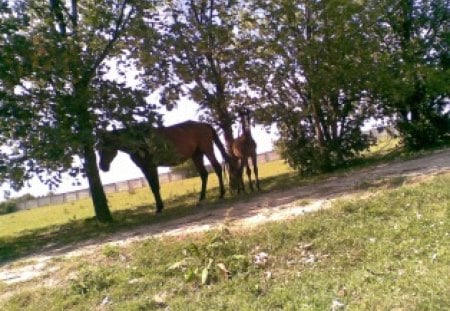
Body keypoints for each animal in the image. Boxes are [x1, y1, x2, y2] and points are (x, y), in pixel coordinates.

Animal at [99, 120, 232, 213]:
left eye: (105, 147)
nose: (102, 167)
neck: (139, 141)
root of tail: (204, 124)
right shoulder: (144, 168)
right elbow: (153, 187)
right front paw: (159, 207)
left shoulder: (150, 166)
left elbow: (155, 186)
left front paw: (159, 208)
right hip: (197, 155)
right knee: (204, 174)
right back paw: (201, 198)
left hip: (207, 150)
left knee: (217, 168)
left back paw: (221, 193)